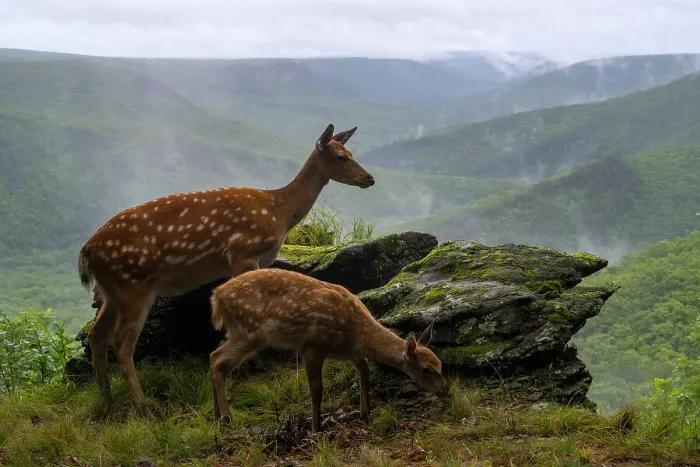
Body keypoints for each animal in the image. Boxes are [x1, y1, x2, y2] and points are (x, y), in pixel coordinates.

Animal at [76, 123, 375, 418]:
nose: (370, 179)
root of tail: (86, 252)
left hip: (111, 291)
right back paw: (145, 409)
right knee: (121, 343)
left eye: (351, 152)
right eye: (341, 157)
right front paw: (252, 365)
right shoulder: (242, 252)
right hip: (133, 285)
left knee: (96, 335)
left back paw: (106, 401)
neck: (279, 210)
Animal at [208, 268, 446, 433]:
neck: (355, 333)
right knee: (219, 360)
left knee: (213, 356)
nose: (444, 390)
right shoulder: (312, 347)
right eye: (426, 369)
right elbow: (317, 389)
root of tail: (216, 298)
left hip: (238, 331)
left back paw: (216, 417)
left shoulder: (353, 353)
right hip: (250, 331)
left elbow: (365, 372)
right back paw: (227, 421)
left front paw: (365, 413)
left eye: (440, 364)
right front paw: (316, 428)